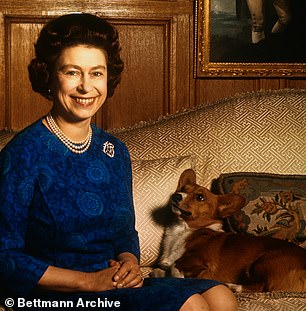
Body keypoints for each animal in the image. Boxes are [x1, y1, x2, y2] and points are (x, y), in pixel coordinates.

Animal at [152, 169, 306, 294]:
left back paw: (232, 286)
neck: (183, 229)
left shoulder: (201, 260)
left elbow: (175, 266)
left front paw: (178, 276)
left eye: (200, 197)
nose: (176, 196)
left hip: (263, 261)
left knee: (263, 287)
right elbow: (163, 269)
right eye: (183, 189)